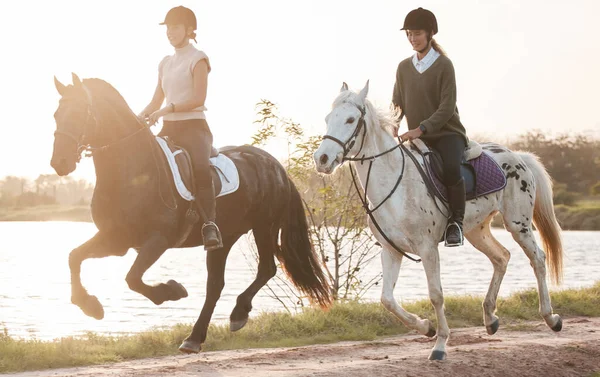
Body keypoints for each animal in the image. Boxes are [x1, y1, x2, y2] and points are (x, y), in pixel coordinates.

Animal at [50, 74, 332, 352]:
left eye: (81, 112)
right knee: (216, 285)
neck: (132, 170)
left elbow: (132, 278)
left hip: (264, 226)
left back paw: (237, 314)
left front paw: (171, 291)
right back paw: (195, 337)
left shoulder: (158, 240)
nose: (59, 163)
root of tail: (276, 166)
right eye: (56, 114)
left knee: (266, 269)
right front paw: (90, 306)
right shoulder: (116, 239)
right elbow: (74, 257)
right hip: (226, 239)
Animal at [314, 81, 564, 358]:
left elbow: (436, 295)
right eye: (327, 118)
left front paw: (440, 344)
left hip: (518, 225)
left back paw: (551, 318)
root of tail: (518, 156)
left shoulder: (428, 249)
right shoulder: (391, 250)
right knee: (501, 257)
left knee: (538, 259)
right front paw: (426, 327)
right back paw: (490, 318)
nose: (321, 159)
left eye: (350, 119)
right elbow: (387, 299)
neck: (396, 185)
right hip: (477, 231)